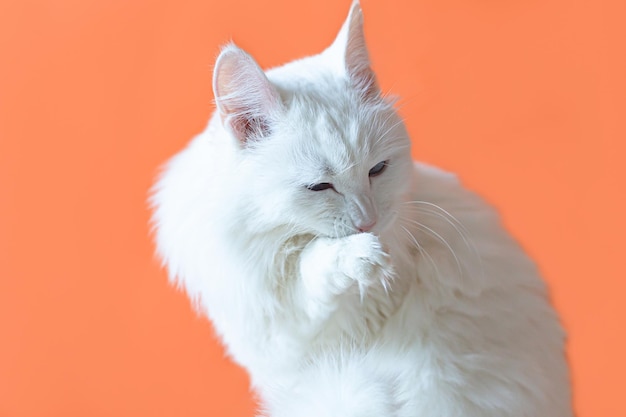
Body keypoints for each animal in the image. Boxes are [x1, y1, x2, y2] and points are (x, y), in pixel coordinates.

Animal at [151, 1, 572, 414]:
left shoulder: (329, 323)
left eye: (378, 169)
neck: (260, 234)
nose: (368, 221)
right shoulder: (274, 337)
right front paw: (359, 254)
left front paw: (363, 256)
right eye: (320, 186)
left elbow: (314, 268)